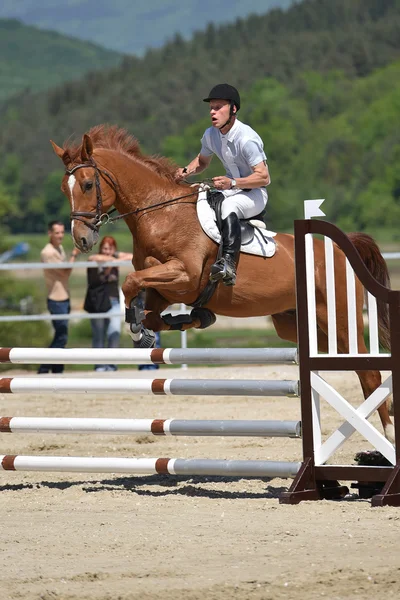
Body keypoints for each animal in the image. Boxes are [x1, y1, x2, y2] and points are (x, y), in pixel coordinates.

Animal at [50, 124, 394, 442]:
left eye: (88, 184)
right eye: (64, 189)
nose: (82, 240)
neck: (161, 214)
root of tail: (342, 248)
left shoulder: (185, 275)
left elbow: (135, 279)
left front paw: (143, 322)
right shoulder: (166, 292)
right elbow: (150, 308)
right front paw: (181, 321)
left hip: (339, 318)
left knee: (369, 371)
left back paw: (388, 435)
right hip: (296, 324)